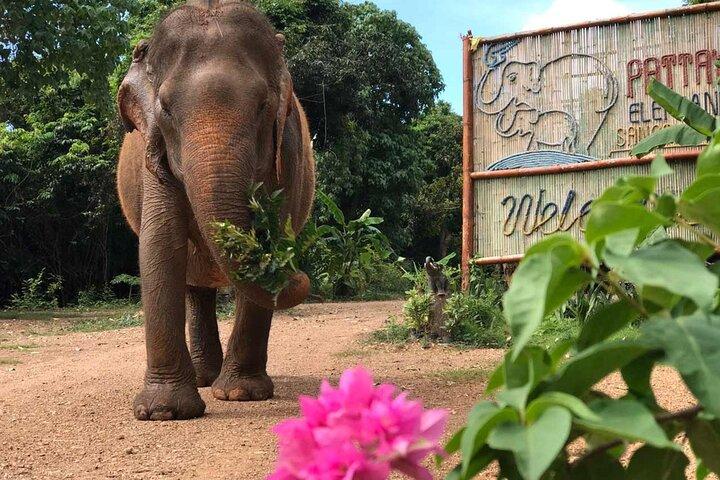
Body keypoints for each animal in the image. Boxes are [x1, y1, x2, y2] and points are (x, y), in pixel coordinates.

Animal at [116, 0, 315, 421]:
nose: (299, 274)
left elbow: (273, 231)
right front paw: (163, 412)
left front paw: (241, 395)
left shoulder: (288, 151)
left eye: (261, 106)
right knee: (195, 287)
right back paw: (204, 378)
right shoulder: (153, 156)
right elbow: (160, 244)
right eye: (166, 109)